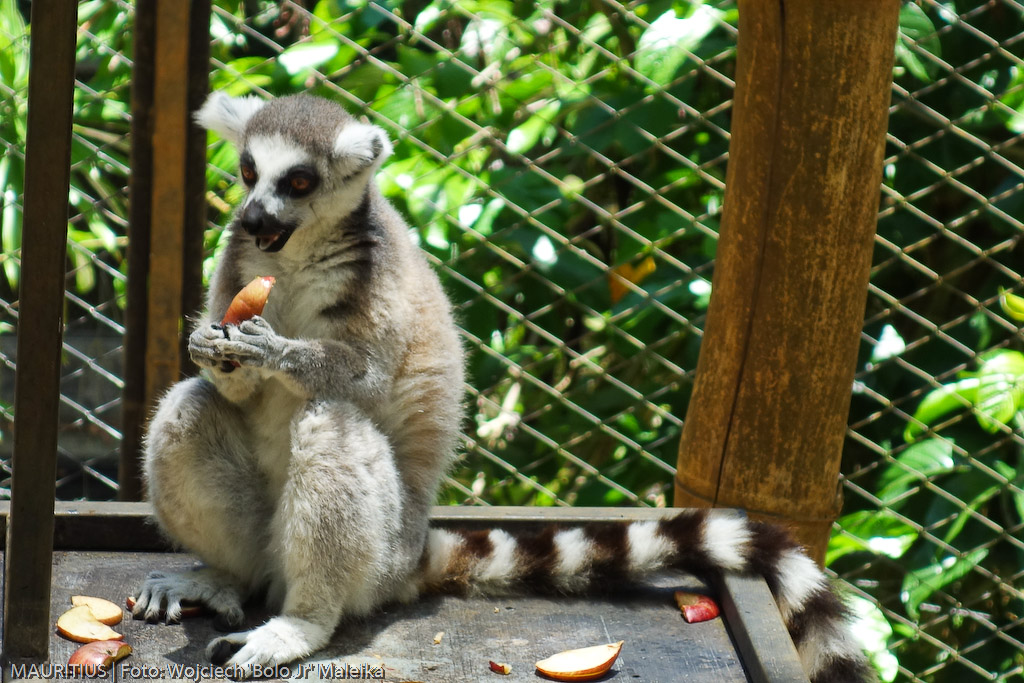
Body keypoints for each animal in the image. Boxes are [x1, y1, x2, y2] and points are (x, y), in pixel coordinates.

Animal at [133, 92, 874, 683]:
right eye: (248, 172)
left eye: (298, 179)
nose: (255, 217)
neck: (293, 255)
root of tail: (411, 555)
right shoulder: (236, 263)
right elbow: (228, 388)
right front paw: (211, 350)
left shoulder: (374, 280)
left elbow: (365, 378)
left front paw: (275, 350)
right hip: (272, 537)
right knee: (189, 413)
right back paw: (227, 576)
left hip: (379, 551)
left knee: (331, 422)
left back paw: (299, 624)